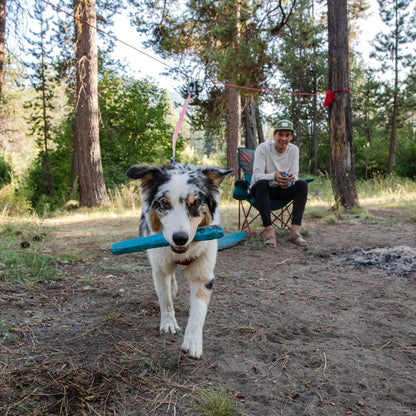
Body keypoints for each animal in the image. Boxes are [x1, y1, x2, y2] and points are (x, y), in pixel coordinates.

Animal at [125, 162, 232, 358]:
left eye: (196, 203)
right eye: (165, 203)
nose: (180, 238)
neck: (181, 253)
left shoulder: (203, 274)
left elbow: (198, 311)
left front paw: (193, 343)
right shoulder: (159, 267)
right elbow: (165, 297)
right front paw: (168, 323)